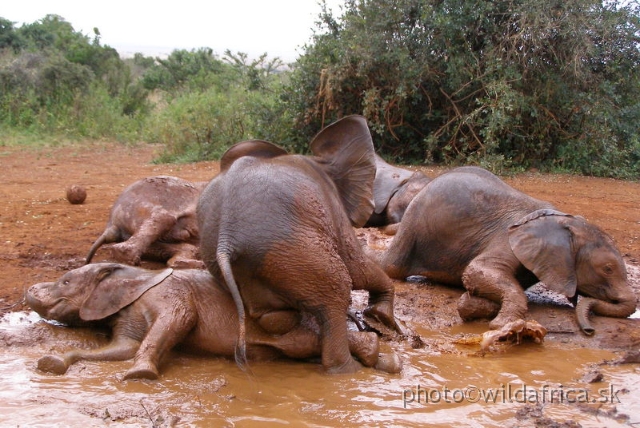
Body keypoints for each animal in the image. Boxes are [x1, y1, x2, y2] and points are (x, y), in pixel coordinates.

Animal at [28, 262, 404, 380]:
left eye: (65, 281)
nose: (30, 289)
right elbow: (122, 347)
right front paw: (51, 363)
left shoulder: (170, 292)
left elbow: (178, 318)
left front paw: (139, 376)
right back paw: (386, 361)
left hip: (297, 322)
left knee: (315, 339)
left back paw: (379, 356)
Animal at [198, 115, 402, 376]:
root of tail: (226, 239)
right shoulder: (333, 208)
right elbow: (356, 267)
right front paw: (383, 318)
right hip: (293, 249)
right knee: (337, 286)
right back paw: (350, 370)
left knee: (272, 316)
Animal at [382, 166, 636, 336]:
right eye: (608, 269)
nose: (589, 330)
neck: (566, 221)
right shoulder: (507, 240)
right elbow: (476, 270)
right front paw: (499, 325)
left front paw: (474, 304)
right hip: (413, 222)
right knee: (392, 267)